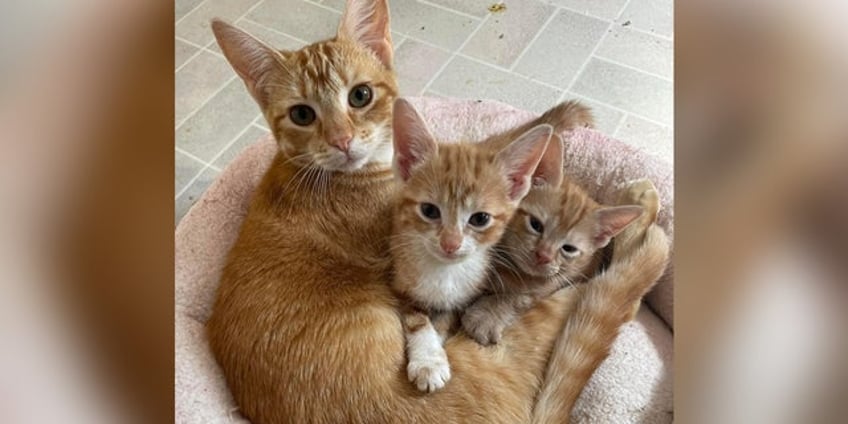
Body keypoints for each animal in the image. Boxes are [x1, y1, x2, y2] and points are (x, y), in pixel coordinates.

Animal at [388, 97, 552, 392]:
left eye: (480, 218)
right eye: (429, 211)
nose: (450, 243)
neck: (445, 272)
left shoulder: (466, 296)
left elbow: (443, 322)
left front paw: (435, 351)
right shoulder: (399, 281)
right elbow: (417, 320)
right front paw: (428, 360)